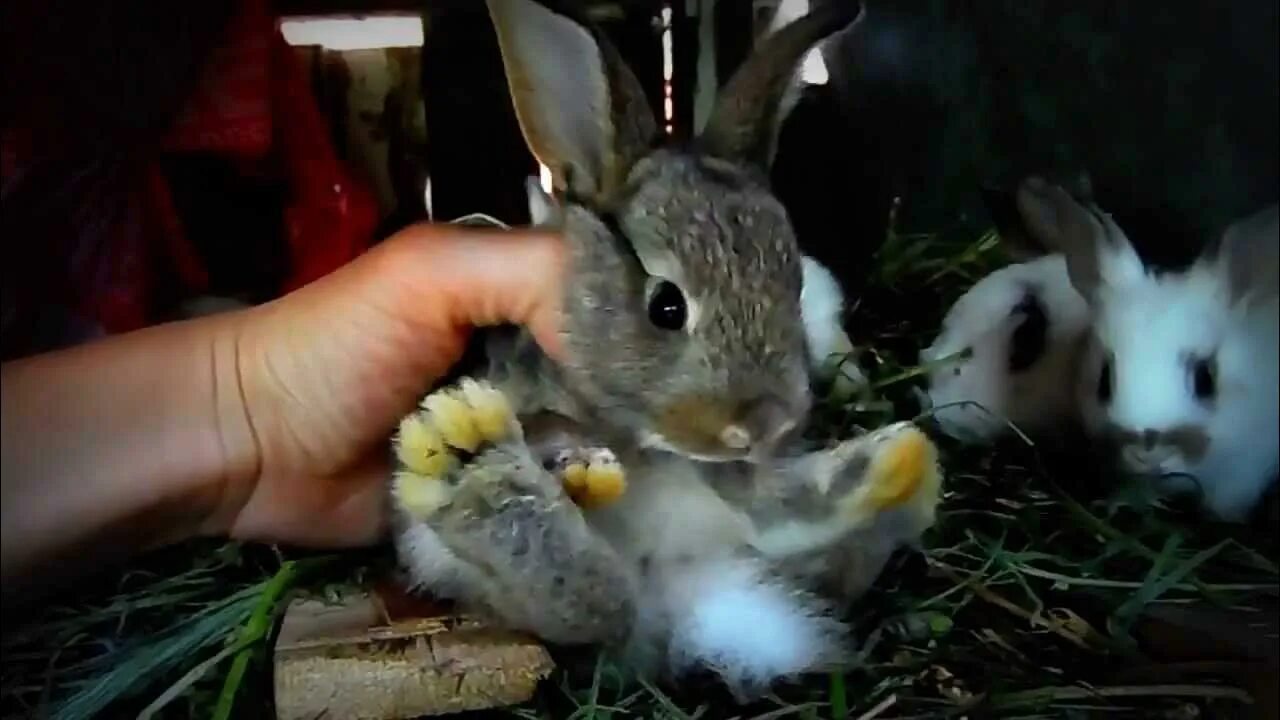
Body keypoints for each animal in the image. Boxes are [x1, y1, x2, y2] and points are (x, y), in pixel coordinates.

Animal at [389, 0, 942, 696]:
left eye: (791, 286)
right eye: (666, 306)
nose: (765, 425)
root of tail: (687, 591)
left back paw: (891, 464)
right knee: (598, 602)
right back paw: (472, 461)